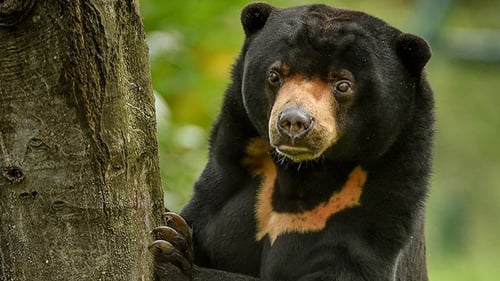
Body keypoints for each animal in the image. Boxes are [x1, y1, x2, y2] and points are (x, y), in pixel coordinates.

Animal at [148, 2, 434, 280]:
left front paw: (177, 257)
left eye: (343, 85)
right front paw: (173, 234)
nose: (293, 122)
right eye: (275, 75)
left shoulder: (378, 207)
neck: (300, 173)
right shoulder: (225, 179)